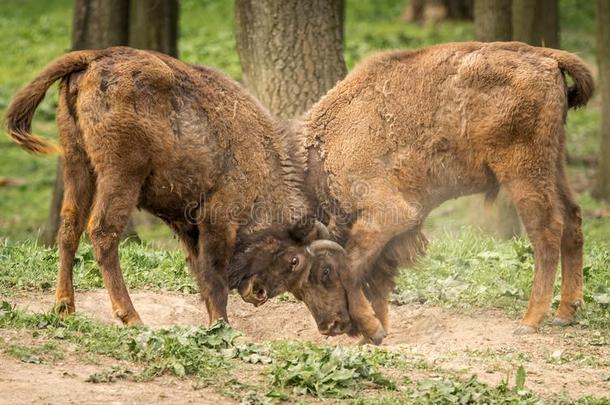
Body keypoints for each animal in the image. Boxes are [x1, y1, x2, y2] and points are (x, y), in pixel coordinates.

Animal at [4, 46, 342, 326]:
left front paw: (215, 322)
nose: (257, 294)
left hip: (77, 163)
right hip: (121, 175)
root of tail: (95, 57)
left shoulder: (187, 223)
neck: (260, 158)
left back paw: (65, 308)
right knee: (102, 232)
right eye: (295, 260)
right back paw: (132, 317)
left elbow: (200, 272)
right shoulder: (218, 217)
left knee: (69, 228)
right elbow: (214, 274)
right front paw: (222, 325)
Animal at [228, 41, 588, 344]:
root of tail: (547, 57)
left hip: (523, 173)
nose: (331, 327)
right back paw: (566, 313)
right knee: (572, 219)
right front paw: (375, 333)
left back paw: (530, 321)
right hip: (554, 164)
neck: (329, 153)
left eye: (322, 272)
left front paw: (372, 330)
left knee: (546, 232)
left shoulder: (388, 216)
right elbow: (377, 277)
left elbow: (355, 269)